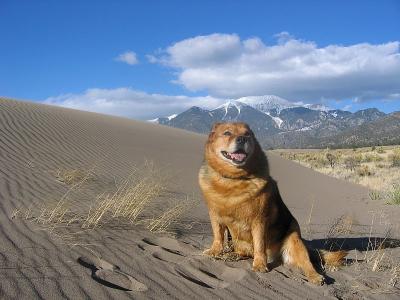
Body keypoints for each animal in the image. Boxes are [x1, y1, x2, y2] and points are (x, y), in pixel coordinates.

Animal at [200, 121, 346, 284]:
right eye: (227, 133)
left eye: (247, 134)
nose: (243, 139)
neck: (234, 180)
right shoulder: (215, 215)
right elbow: (218, 237)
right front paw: (214, 251)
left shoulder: (259, 220)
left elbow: (259, 245)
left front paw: (259, 265)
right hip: (239, 242)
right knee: (244, 252)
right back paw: (233, 255)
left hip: (294, 241)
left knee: (307, 263)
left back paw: (316, 276)